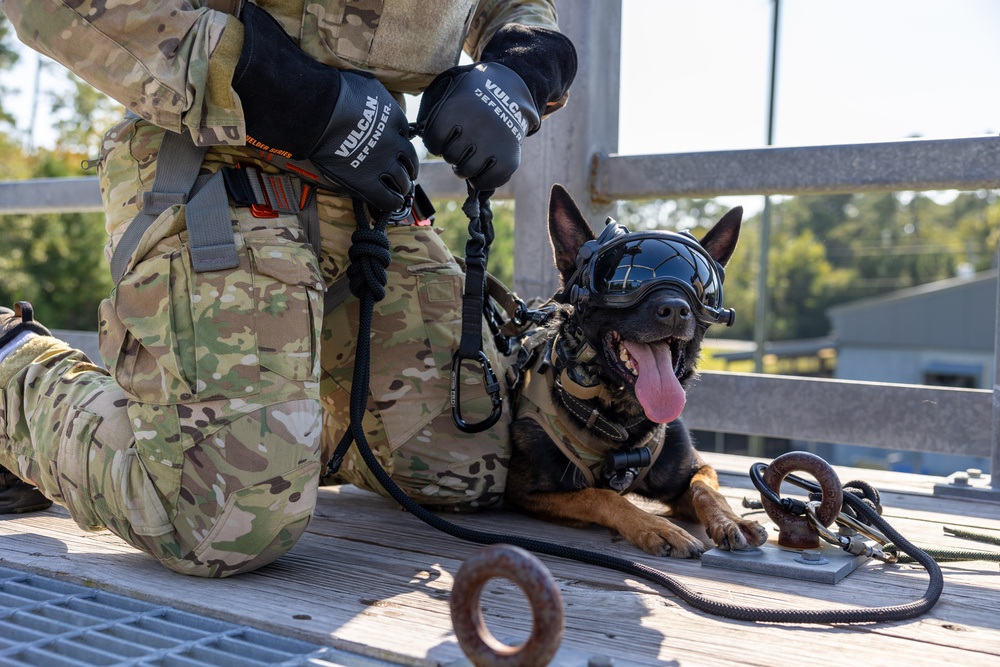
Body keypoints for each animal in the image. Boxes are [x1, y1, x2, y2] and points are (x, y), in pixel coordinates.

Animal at [504, 184, 768, 560]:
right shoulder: (523, 492)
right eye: (624, 282)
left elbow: (706, 489)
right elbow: (601, 495)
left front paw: (732, 520)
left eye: (699, 286)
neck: (621, 420)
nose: (675, 309)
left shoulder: (698, 469)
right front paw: (655, 527)